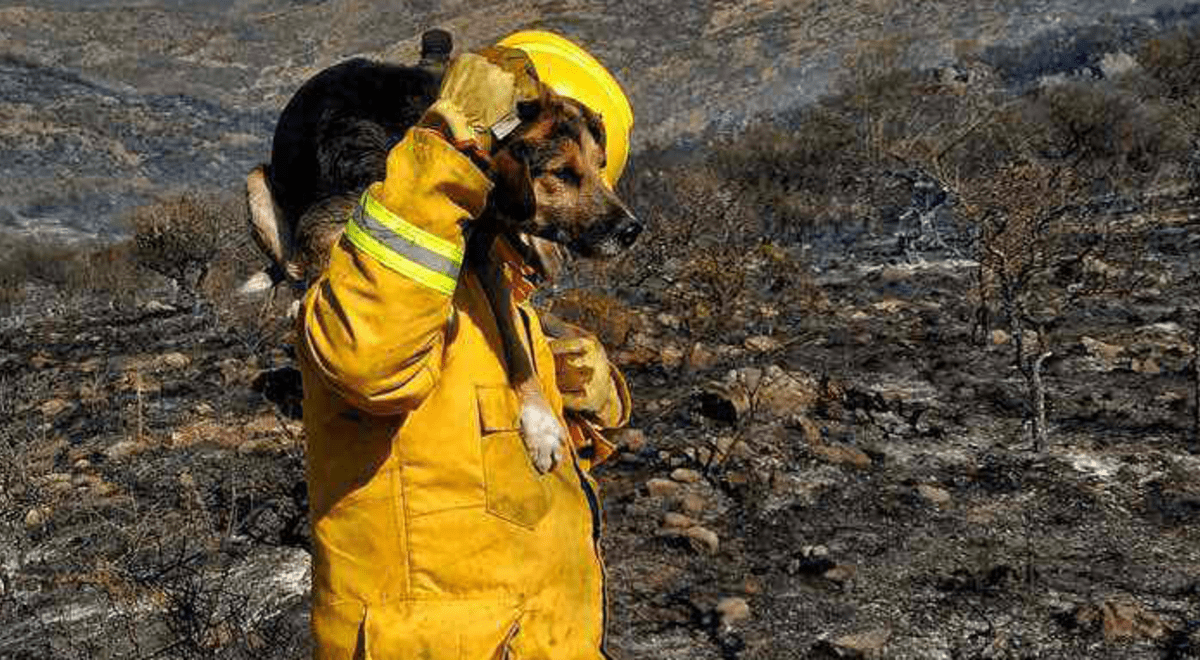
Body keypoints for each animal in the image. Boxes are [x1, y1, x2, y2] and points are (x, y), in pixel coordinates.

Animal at [238, 31, 643, 472]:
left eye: (600, 165)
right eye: (563, 174)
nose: (632, 230)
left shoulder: (485, 257)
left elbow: (515, 341)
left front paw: (540, 424)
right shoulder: (327, 226)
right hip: (256, 184)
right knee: (293, 270)